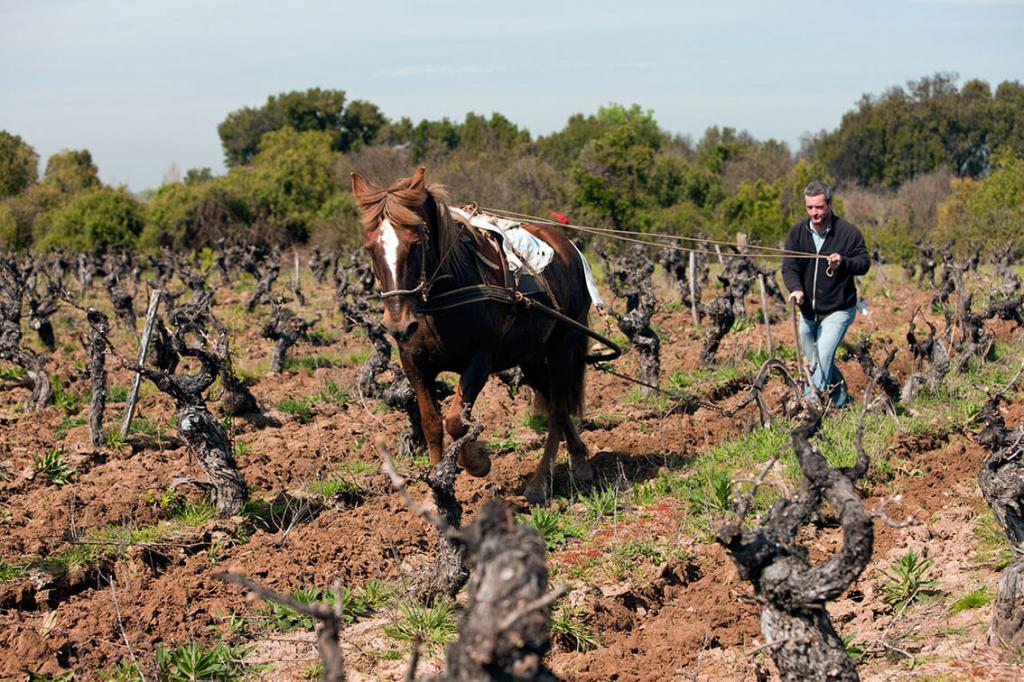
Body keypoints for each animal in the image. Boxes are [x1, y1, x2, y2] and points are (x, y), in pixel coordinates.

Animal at [352, 164, 598, 499]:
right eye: (369, 248)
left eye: (416, 243)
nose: (399, 325)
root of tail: (567, 246)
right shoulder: (413, 363)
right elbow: (432, 424)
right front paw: (437, 489)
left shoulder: (480, 359)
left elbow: (457, 421)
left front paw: (476, 460)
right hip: (530, 354)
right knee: (550, 399)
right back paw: (580, 459)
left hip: (564, 343)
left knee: (559, 408)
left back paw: (539, 481)